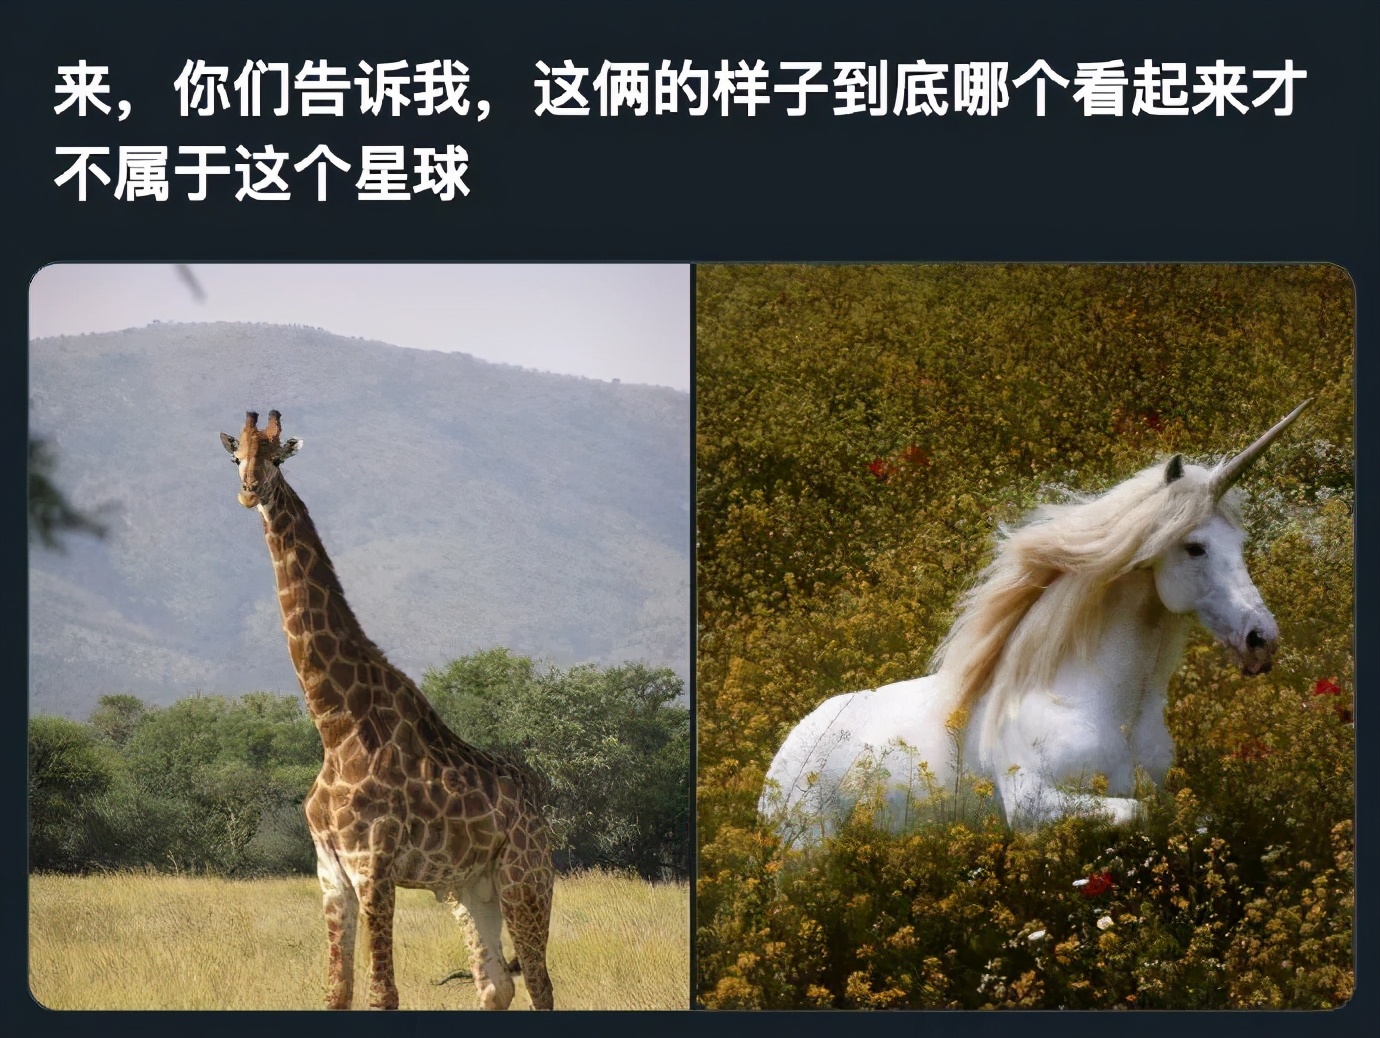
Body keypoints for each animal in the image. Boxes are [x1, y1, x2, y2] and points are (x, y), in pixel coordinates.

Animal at [760, 402, 1310, 844]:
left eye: (1240, 544)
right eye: (1195, 547)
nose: (1261, 639)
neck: (1097, 701)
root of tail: (780, 763)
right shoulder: (1033, 809)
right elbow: (1136, 812)